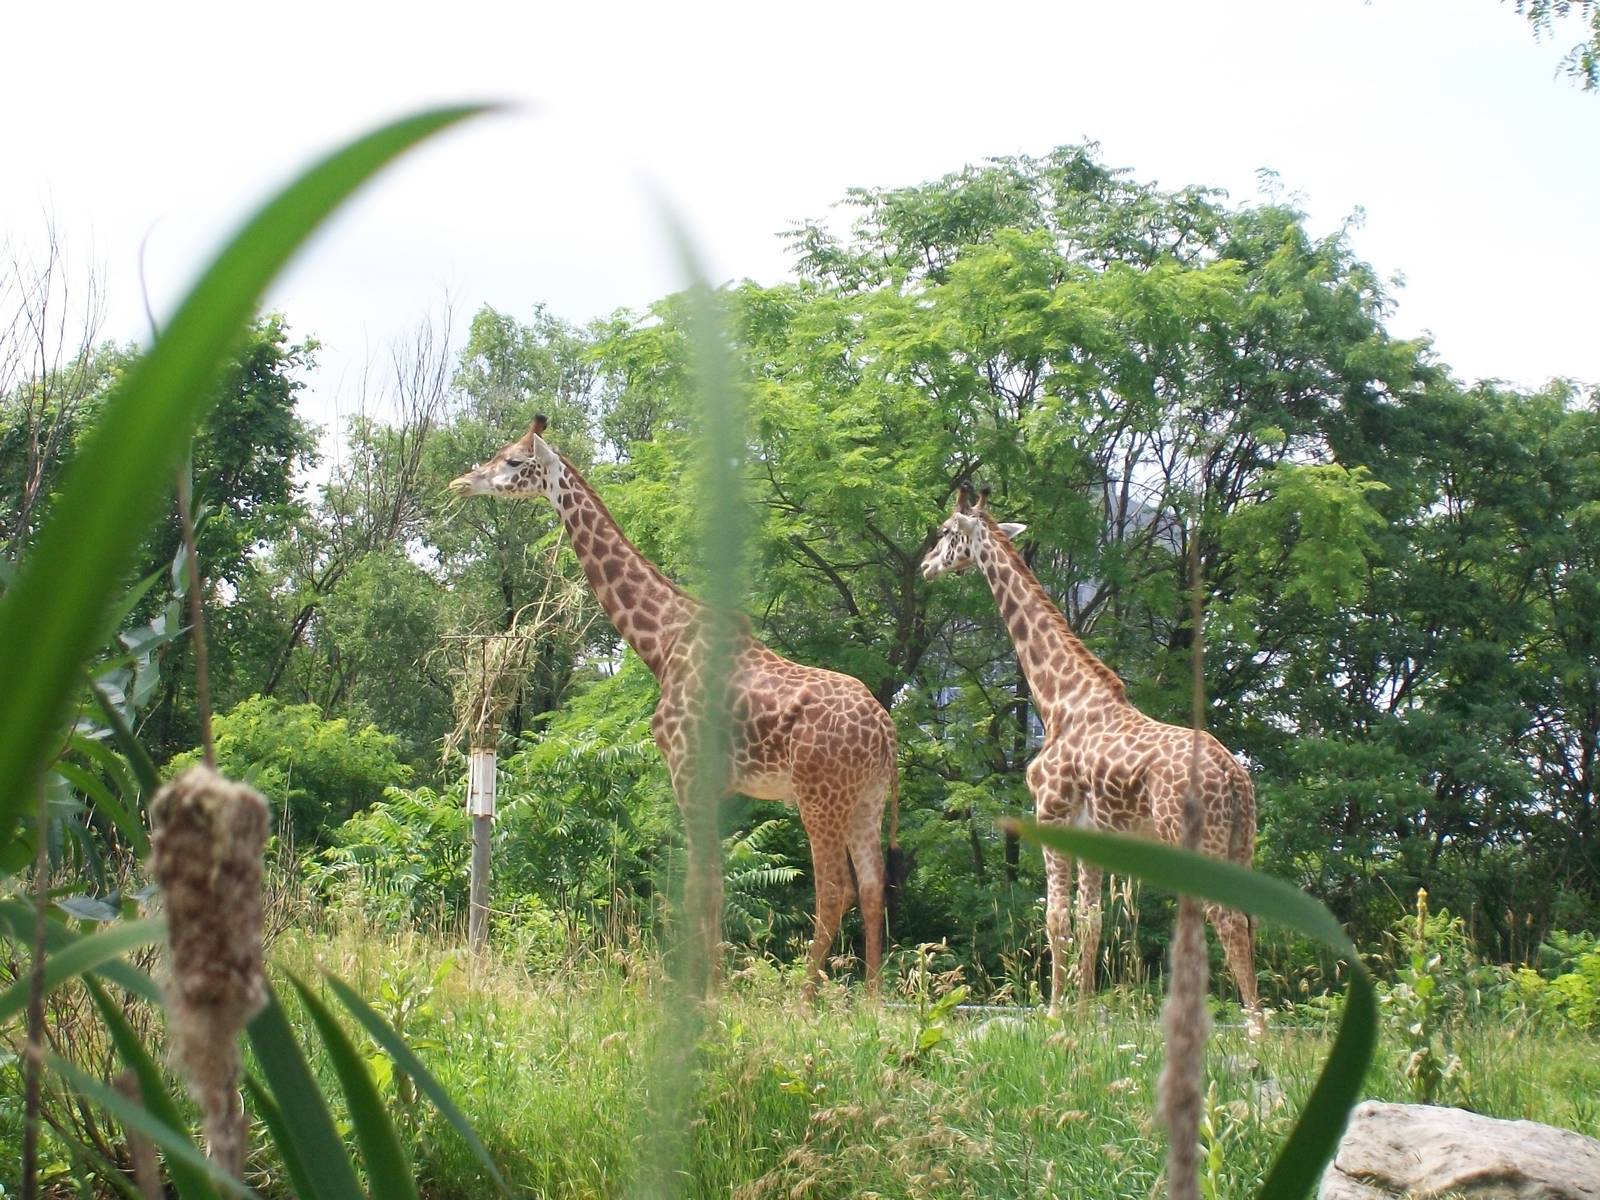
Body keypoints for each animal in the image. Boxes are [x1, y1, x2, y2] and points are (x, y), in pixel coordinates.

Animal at [449, 416, 901, 995]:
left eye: (511, 460)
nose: (462, 482)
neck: (660, 643)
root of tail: (886, 731)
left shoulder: (688, 770)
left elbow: (698, 884)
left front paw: (702, 994)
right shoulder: (711, 783)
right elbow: (714, 882)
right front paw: (715, 988)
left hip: (819, 796)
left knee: (834, 890)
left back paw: (804, 1000)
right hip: (866, 798)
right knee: (872, 887)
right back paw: (871, 1001)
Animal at [920, 485, 1261, 1026]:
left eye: (948, 531)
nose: (927, 566)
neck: (1058, 699)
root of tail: (1235, 777)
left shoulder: (1051, 814)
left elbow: (1056, 918)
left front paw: (1055, 1014)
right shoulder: (1095, 833)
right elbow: (1092, 921)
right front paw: (1081, 1017)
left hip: (1193, 838)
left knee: (1227, 919)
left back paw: (1255, 1033)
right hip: (1240, 841)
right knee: (1248, 920)